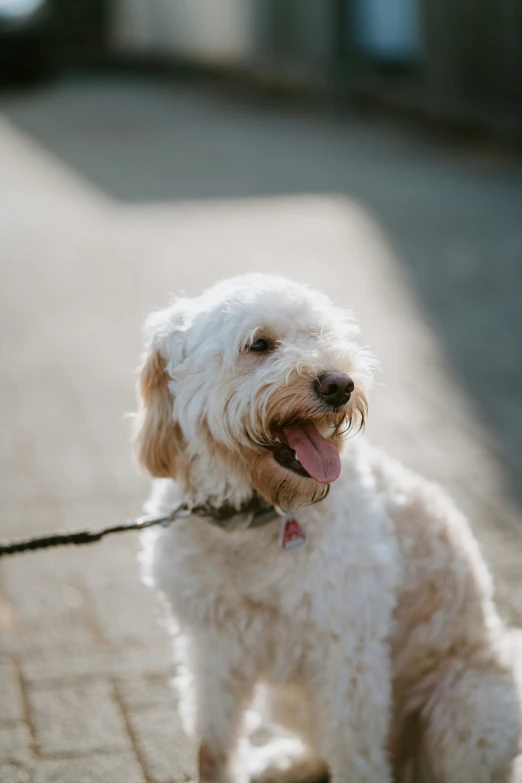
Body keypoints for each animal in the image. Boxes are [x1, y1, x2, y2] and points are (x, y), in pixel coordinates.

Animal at [135, 274, 520, 783]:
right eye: (259, 344)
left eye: (321, 335)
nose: (340, 384)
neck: (253, 519)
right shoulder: (212, 647)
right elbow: (213, 743)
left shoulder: (347, 653)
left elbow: (354, 753)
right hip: (290, 697)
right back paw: (286, 762)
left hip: (467, 705)